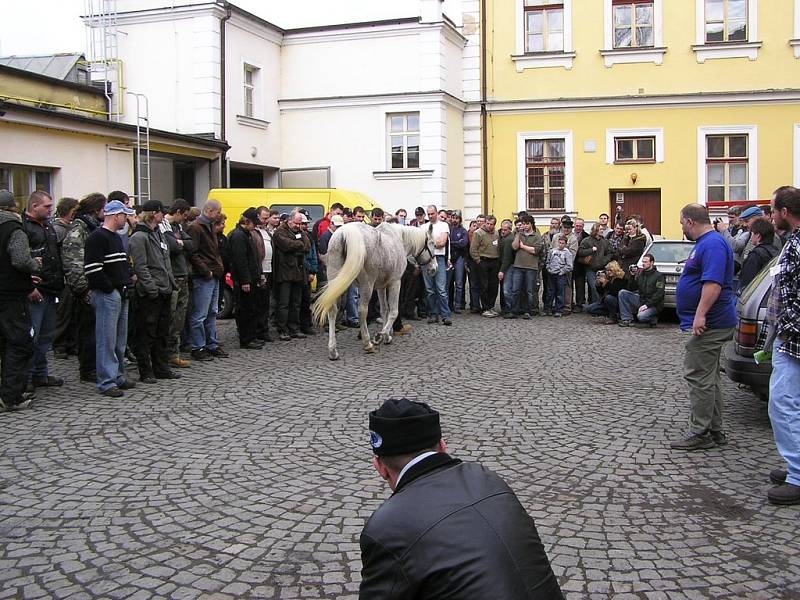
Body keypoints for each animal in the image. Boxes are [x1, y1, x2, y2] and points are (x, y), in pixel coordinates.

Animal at [312, 221, 438, 358]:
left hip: (336, 281)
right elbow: (394, 311)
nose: (434, 269)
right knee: (362, 310)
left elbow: (384, 310)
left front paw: (386, 336)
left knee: (332, 310)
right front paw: (380, 335)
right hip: (366, 285)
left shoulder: (381, 287)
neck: (398, 238)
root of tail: (345, 233)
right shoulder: (395, 282)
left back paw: (333, 350)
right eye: (433, 244)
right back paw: (367, 344)